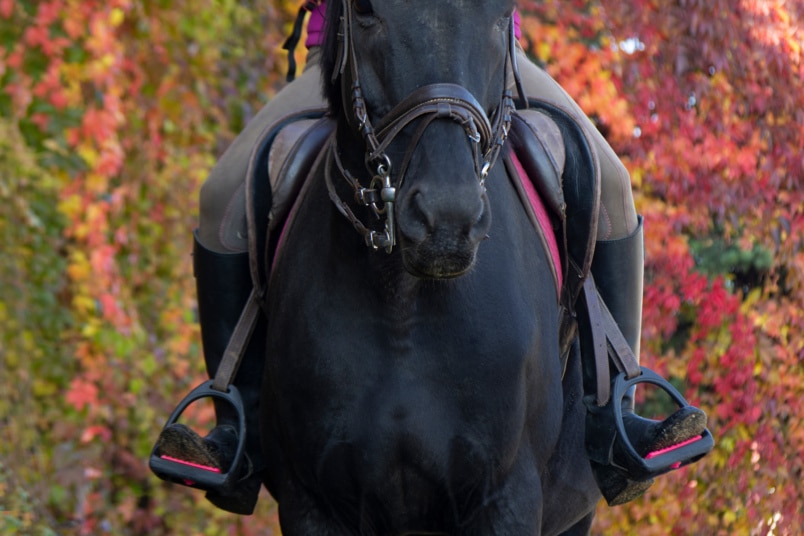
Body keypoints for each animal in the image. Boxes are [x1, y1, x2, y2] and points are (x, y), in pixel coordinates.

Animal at [260, 2, 600, 532]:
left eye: (503, 14)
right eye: (364, 11)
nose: (446, 219)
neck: (403, 302)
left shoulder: (508, 498)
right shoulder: (309, 502)